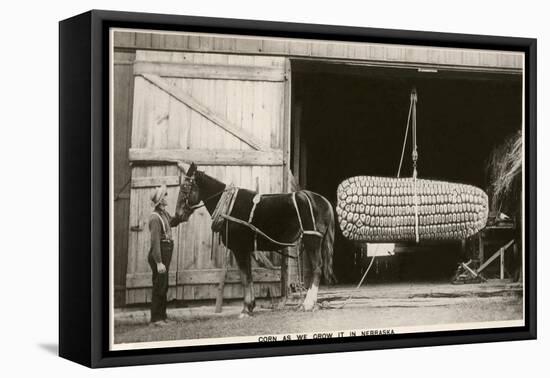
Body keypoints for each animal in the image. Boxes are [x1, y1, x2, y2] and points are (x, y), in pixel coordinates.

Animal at [177, 162, 336, 316]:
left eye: (184, 188)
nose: (177, 216)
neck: (229, 206)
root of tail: (323, 200)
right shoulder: (245, 249)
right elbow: (248, 276)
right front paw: (251, 305)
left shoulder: (239, 249)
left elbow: (245, 277)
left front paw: (246, 308)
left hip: (312, 241)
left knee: (317, 268)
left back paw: (307, 304)